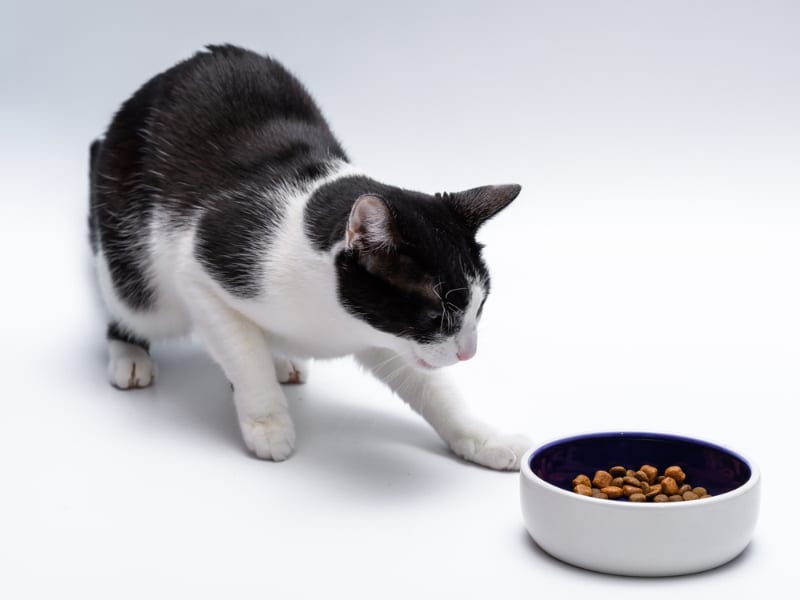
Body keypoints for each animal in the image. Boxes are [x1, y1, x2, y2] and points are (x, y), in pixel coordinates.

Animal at [89, 44, 532, 472]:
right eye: (434, 314)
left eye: (480, 306)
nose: (468, 352)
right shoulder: (203, 264)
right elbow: (243, 356)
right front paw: (267, 424)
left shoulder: (388, 337)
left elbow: (433, 387)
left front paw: (485, 439)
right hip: (137, 269)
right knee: (130, 305)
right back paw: (130, 356)